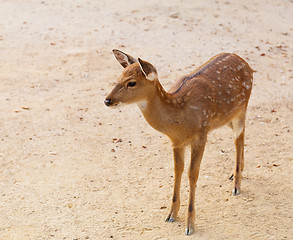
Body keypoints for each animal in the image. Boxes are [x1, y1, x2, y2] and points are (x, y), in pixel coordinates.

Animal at [104, 48, 252, 234]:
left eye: (131, 82)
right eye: (118, 77)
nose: (107, 100)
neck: (179, 117)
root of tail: (246, 64)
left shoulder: (201, 134)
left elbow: (192, 173)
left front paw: (190, 225)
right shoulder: (176, 141)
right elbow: (177, 170)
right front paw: (171, 214)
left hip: (242, 107)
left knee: (239, 138)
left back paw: (237, 185)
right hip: (227, 116)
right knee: (241, 134)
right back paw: (235, 173)